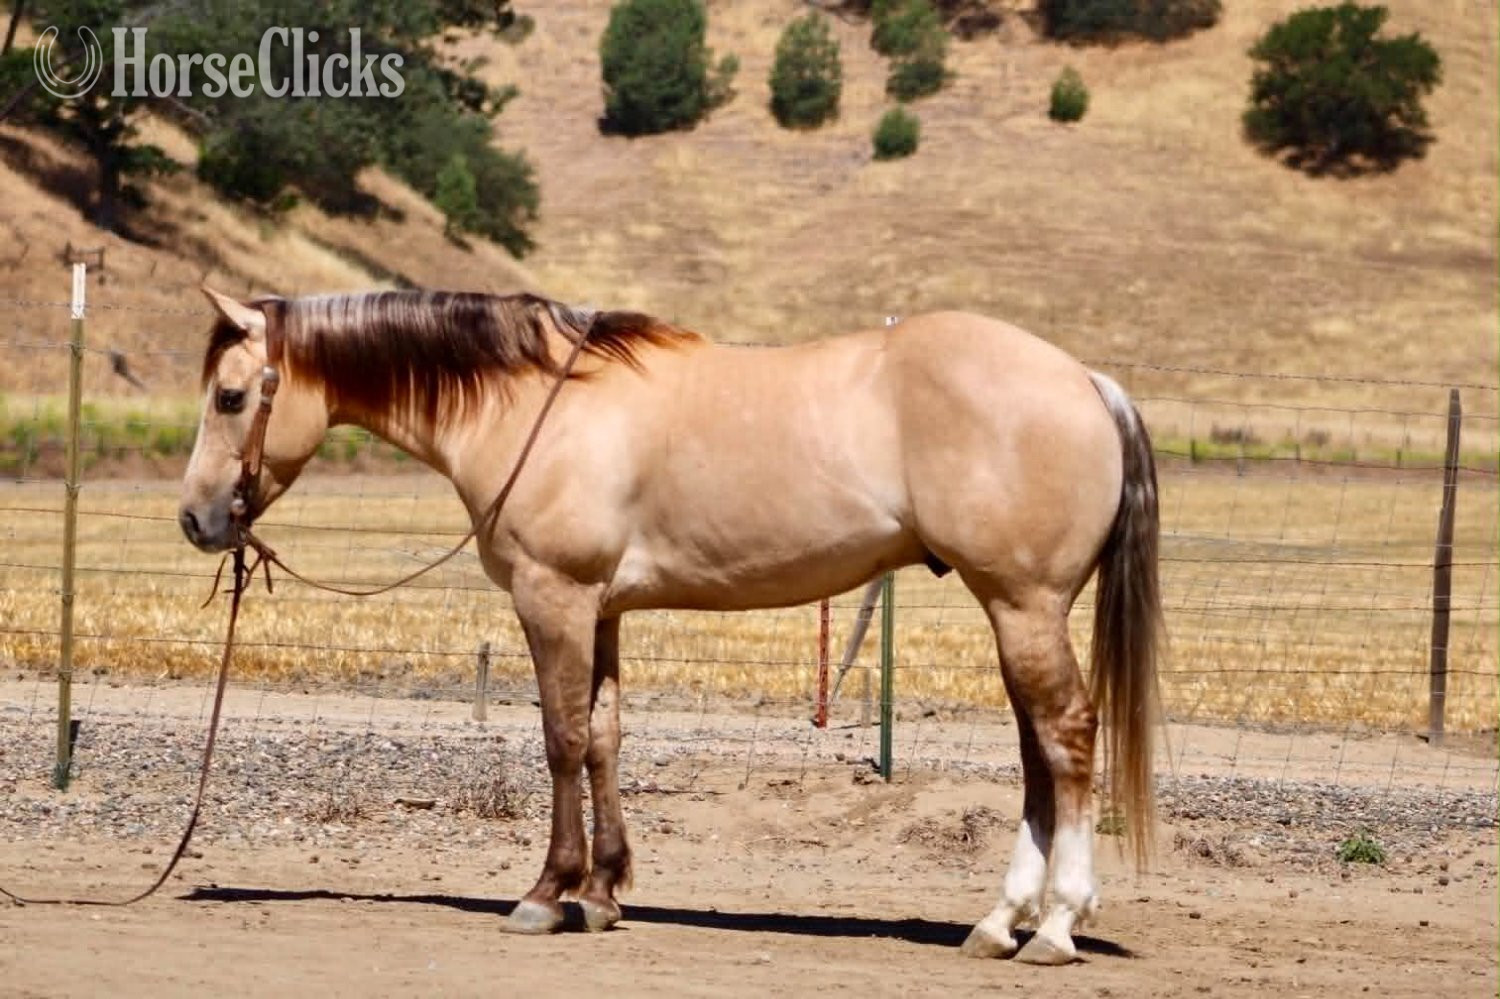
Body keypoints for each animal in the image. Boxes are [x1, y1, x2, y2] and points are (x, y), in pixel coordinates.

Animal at [180, 286, 1161, 965]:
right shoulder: (602, 610)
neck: (535, 403)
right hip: (1015, 610)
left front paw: (547, 891)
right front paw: (604, 891)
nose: (196, 519)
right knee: (1037, 752)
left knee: (1067, 736)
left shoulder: (554, 598)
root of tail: (1088, 381)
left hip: (1024, 605)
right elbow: (606, 738)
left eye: (230, 397)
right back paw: (1001, 920)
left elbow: (562, 739)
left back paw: (1056, 923)